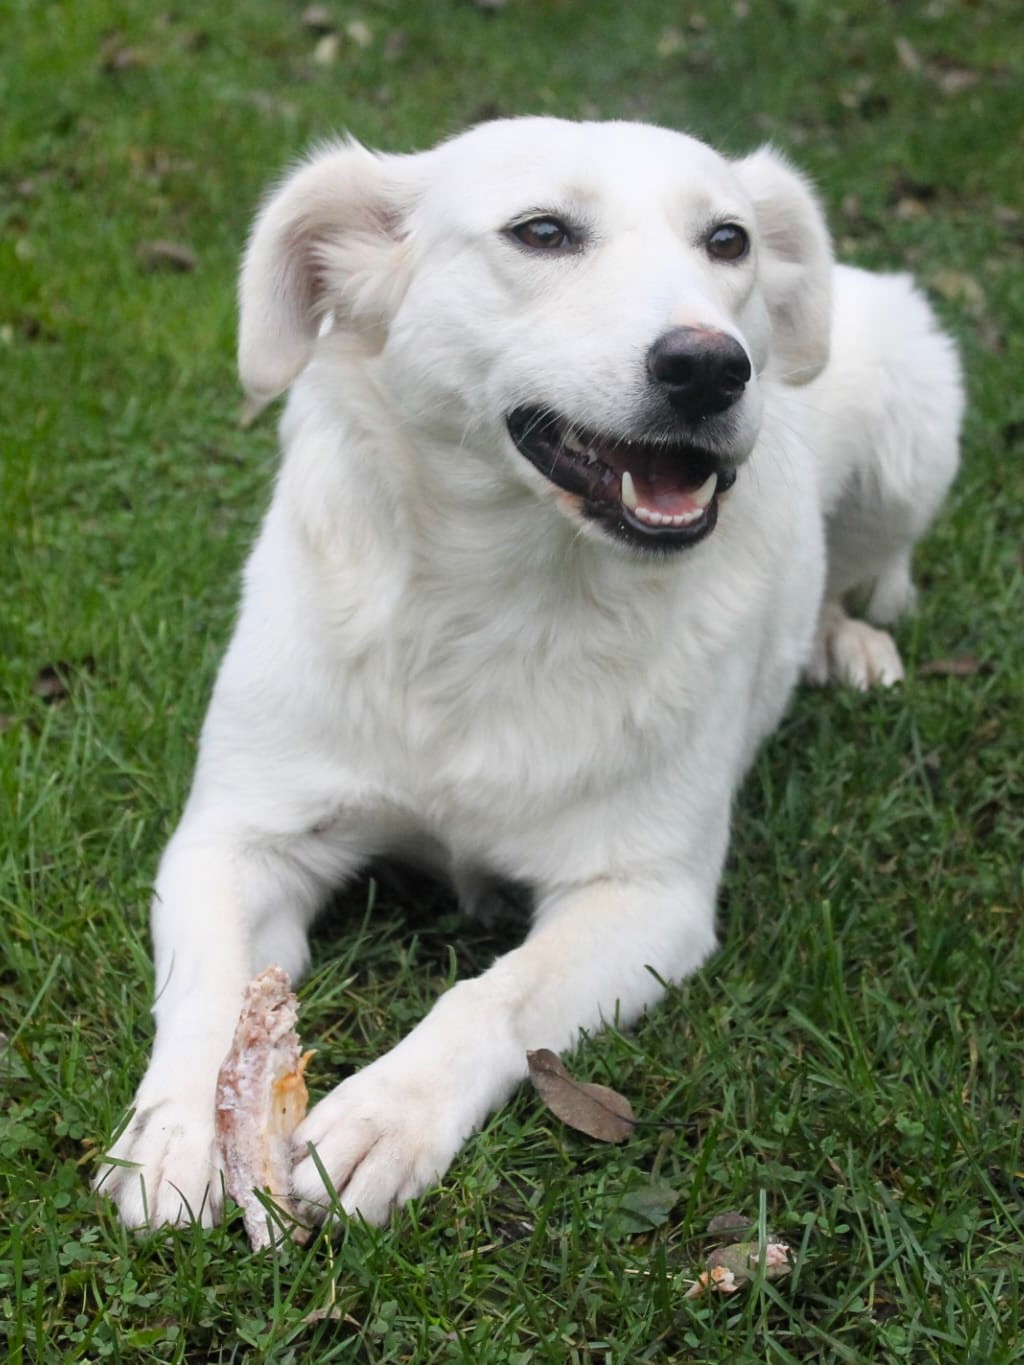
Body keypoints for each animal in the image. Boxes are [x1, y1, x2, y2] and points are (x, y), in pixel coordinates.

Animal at [94, 117, 961, 1228]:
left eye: (726, 241)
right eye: (541, 231)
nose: (711, 367)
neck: (499, 603)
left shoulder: (645, 896)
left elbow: (497, 991)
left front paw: (390, 1111)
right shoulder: (236, 837)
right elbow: (208, 986)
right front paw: (186, 1129)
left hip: (913, 423)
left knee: (864, 575)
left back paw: (843, 641)